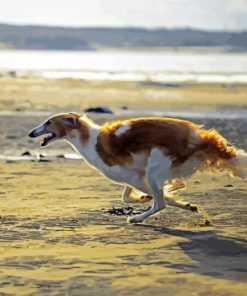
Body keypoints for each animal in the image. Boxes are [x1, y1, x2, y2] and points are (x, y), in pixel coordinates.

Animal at [28, 112, 245, 223]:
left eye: (48, 122)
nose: (31, 133)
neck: (89, 140)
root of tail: (198, 137)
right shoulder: (134, 176)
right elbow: (128, 196)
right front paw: (187, 204)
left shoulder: (136, 177)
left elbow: (161, 198)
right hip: (153, 171)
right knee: (159, 201)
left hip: (154, 170)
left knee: (160, 204)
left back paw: (137, 219)